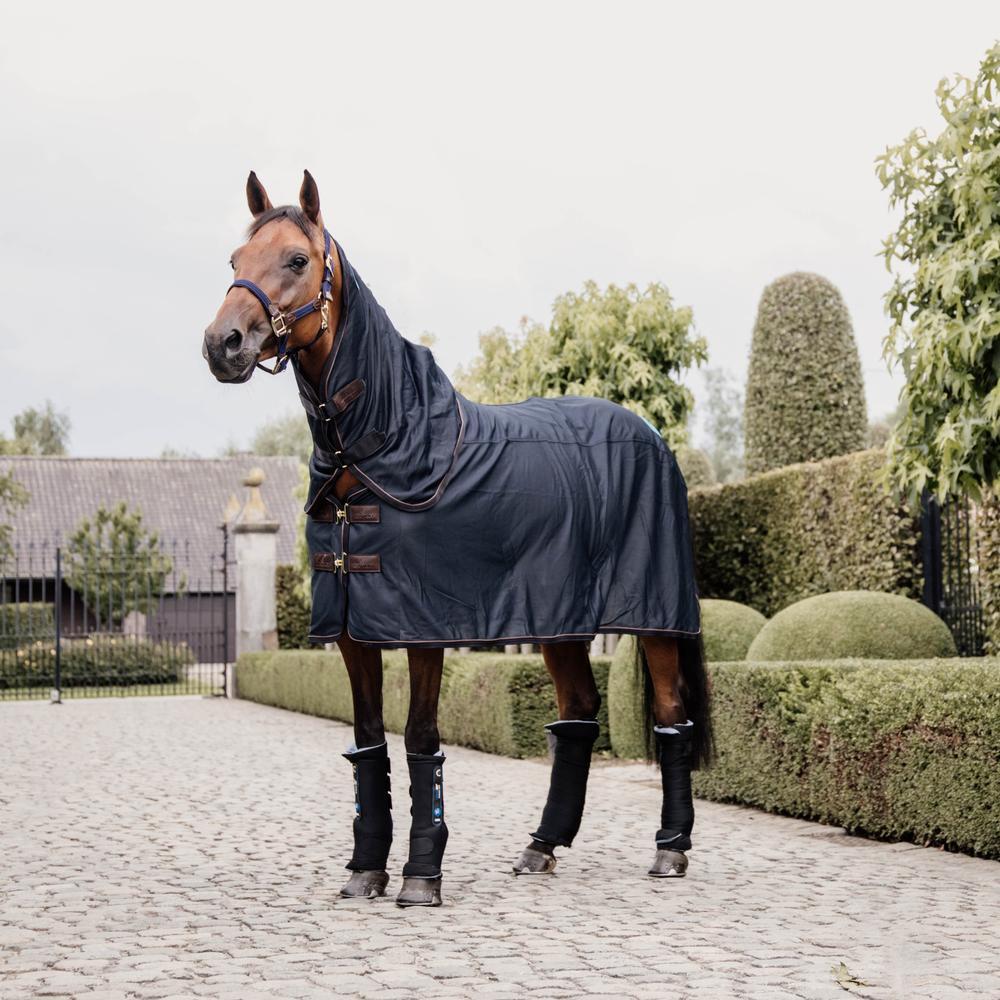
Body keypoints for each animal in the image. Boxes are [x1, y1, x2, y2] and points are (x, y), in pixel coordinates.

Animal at [203, 170, 712, 908]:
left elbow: (420, 736)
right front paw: (365, 870)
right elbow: (367, 741)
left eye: (296, 259)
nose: (224, 344)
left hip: (655, 619)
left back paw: (670, 850)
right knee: (579, 714)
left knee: (672, 713)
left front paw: (421, 875)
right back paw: (540, 847)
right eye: (235, 261)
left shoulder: (423, 629)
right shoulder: (353, 630)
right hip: (557, 620)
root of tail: (649, 435)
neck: (387, 445)